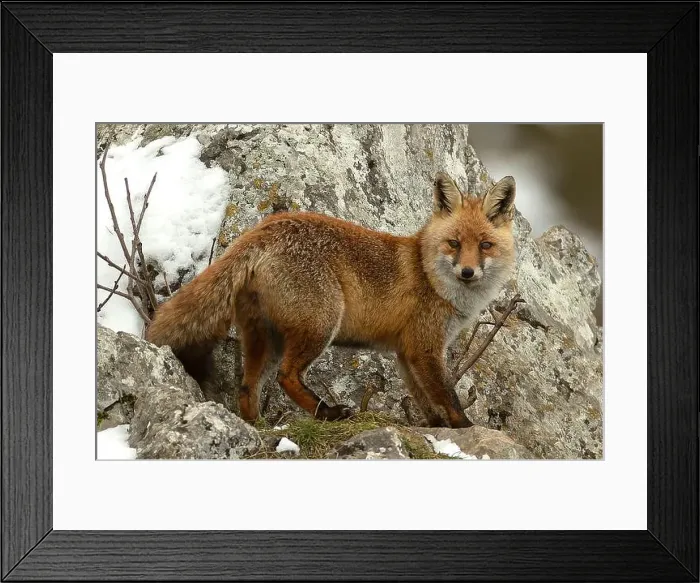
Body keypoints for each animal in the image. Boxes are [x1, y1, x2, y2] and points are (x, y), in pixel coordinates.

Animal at [146, 172, 517, 428]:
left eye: (485, 245)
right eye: (454, 243)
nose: (468, 272)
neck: (429, 274)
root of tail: (266, 226)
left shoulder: (406, 351)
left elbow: (423, 397)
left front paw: (437, 425)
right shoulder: (424, 347)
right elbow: (446, 394)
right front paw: (464, 426)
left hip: (264, 338)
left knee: (247, 387)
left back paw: (258, 427)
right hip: (321, 324)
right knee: (287, 376)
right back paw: (328, 412)